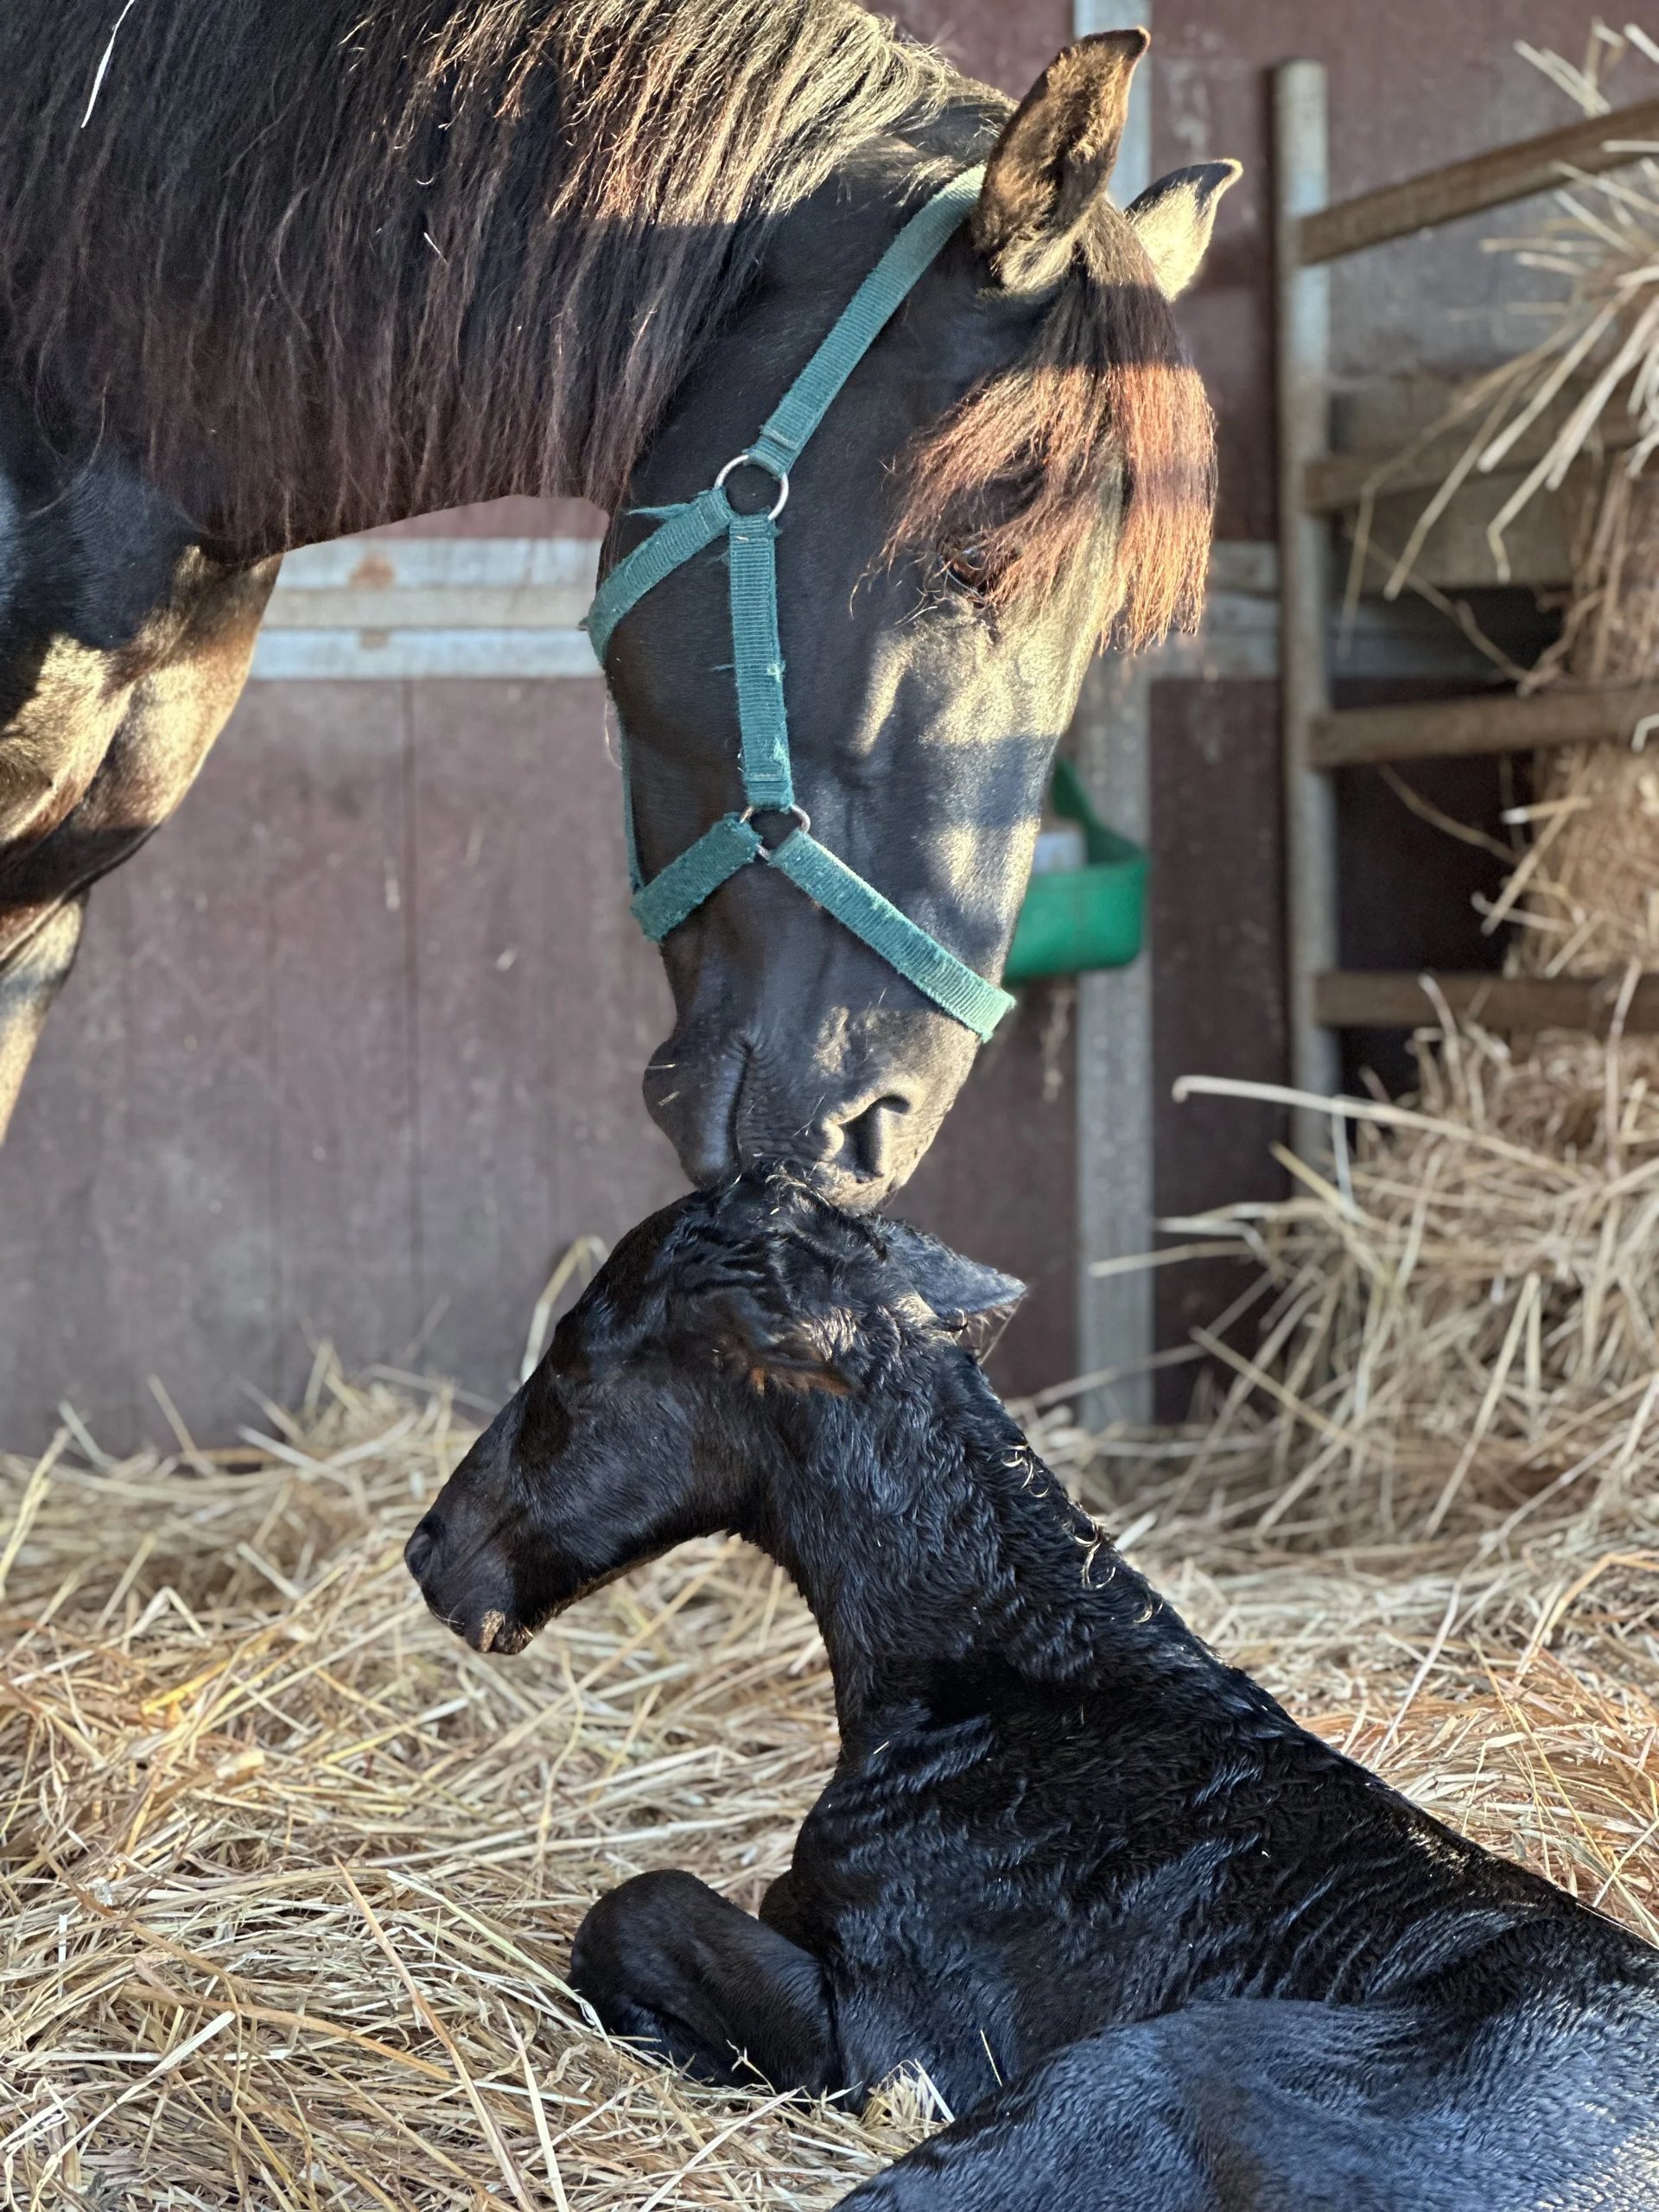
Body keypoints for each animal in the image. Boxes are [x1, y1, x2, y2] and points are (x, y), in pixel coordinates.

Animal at [405, 1172, 1659, 2211]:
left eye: (577, 1360)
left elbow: (635, 1908)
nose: (429, 1552)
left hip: (1115, 2081)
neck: (1002, 1685)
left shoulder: (900, 2043)